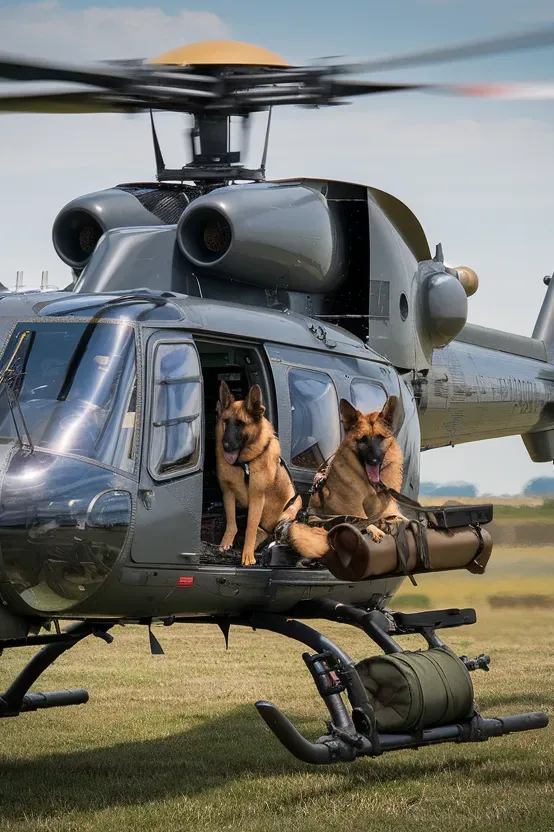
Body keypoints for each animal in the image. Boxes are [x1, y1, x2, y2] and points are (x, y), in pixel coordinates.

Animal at [216, 382, 302, 564]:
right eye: (225, 422)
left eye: (240, 424)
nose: (225, 445)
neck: (244, 463)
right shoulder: (228, 493)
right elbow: (231, 521)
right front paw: (227, 541)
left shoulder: (257, 497)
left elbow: (250, 527)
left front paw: (247, 554)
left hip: (289, 510)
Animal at [282, 394, 404, 560]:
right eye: (362, 440)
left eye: (380, 438)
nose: (374, 461)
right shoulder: (355, 512)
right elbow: (364, 520)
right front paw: (375, 529)